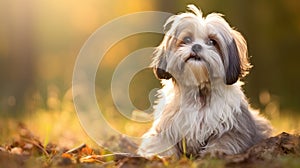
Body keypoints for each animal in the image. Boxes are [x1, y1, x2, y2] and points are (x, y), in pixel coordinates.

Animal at [137, 4, 274, 158]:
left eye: (212, 42)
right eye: (187, 40)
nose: (196, 46)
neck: (200, 92)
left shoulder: (232, 128)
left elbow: (222, 143)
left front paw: (213, 155)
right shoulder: (166, 126)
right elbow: (161, 142)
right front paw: (161, 156)